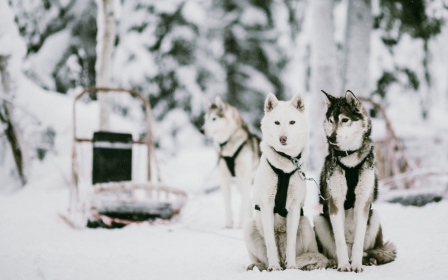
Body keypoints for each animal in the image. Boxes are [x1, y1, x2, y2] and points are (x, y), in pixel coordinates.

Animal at [243, 92, 328, 272]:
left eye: (292, 122)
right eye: (277, 122)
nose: (283, 138)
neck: (285, 165)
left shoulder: (294, 208)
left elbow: (291, 244)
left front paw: (293, 267)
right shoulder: (267, 207)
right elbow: (270, 244)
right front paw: (274, 268)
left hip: (306, 225)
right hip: (249, 227)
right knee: (264, 259)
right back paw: (260, 265)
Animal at [314, 91, 398, 272]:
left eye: (345, 120)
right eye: (331, 120)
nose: (332, 137)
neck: (349, 159)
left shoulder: (363, 203)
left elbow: (359, 243)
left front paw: (357, 266)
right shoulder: (335, 203)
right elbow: (339, 242)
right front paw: (344, 266)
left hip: (375, 217)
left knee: (365, 249)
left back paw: (368, 260)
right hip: (319, 219)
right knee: (336, 251)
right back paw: (335, 262)